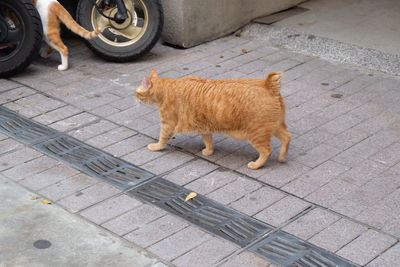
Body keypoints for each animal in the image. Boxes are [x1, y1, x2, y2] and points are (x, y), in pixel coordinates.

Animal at [135, 70, 290, 171]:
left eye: (137, 93)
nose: (134, 98)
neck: (167, 87)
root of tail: (267, 84)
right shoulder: (204, 126)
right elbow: (208, 140)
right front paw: (209, 151)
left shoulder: (168, 123)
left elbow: (162, 139)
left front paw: (156, 146)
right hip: (275, 127)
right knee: (287, 137)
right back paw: (282, 157)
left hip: (258, 134)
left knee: (267, 151)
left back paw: (256, 165)